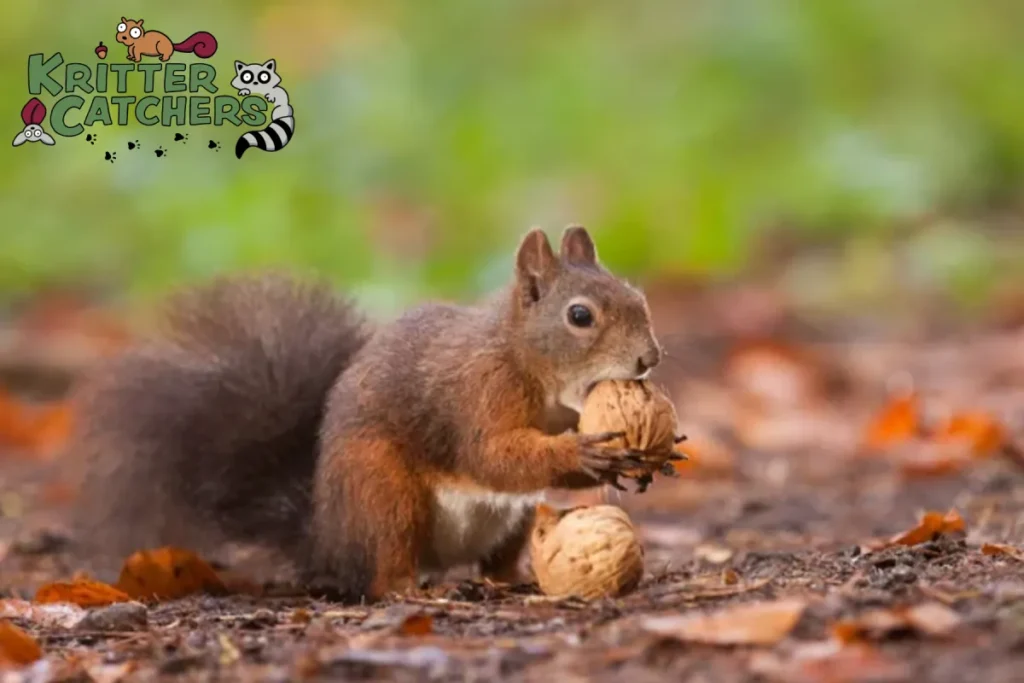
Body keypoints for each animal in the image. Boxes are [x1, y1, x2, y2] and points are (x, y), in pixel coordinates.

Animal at [70, 226, 663, 601]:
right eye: (580, 316)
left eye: (638, 297)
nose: (649, 359)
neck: (526, 363)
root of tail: (328, 537)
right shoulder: (478, 394)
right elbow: (492, 455)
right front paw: (583, 453)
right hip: (382, 493)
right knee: (383, 572)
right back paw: (415, 593)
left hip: (509, 520)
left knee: (496, 558)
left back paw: (512, 577)